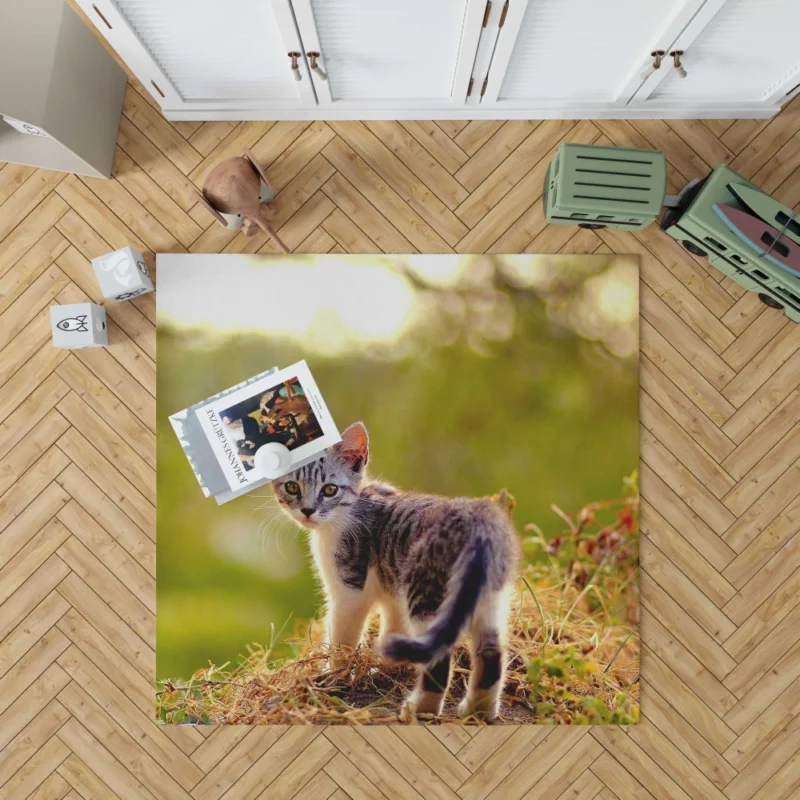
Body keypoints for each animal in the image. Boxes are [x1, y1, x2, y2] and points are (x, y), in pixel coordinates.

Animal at [270, 422, 520, 720]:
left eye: (329, 490)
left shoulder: (350, 588)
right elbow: (393, 629)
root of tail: (480, 523)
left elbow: (342, 639)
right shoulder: (393, 589)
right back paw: (478, 711)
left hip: (427, 590)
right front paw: (385, 666)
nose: (308, 510)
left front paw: (334, 677)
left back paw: (420, 709)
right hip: (491, 597)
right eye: (292, 487)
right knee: (492, 652)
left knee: (439, 657)